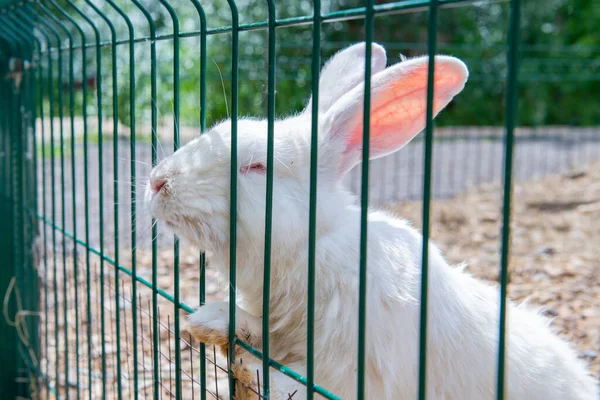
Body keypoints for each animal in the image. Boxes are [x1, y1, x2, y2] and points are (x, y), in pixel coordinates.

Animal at [146, 43, 600, 400]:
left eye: (255, 167)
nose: (157, 182)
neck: (312, 244)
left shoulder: (355, 370)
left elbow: (295, 381)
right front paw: (212, 320)